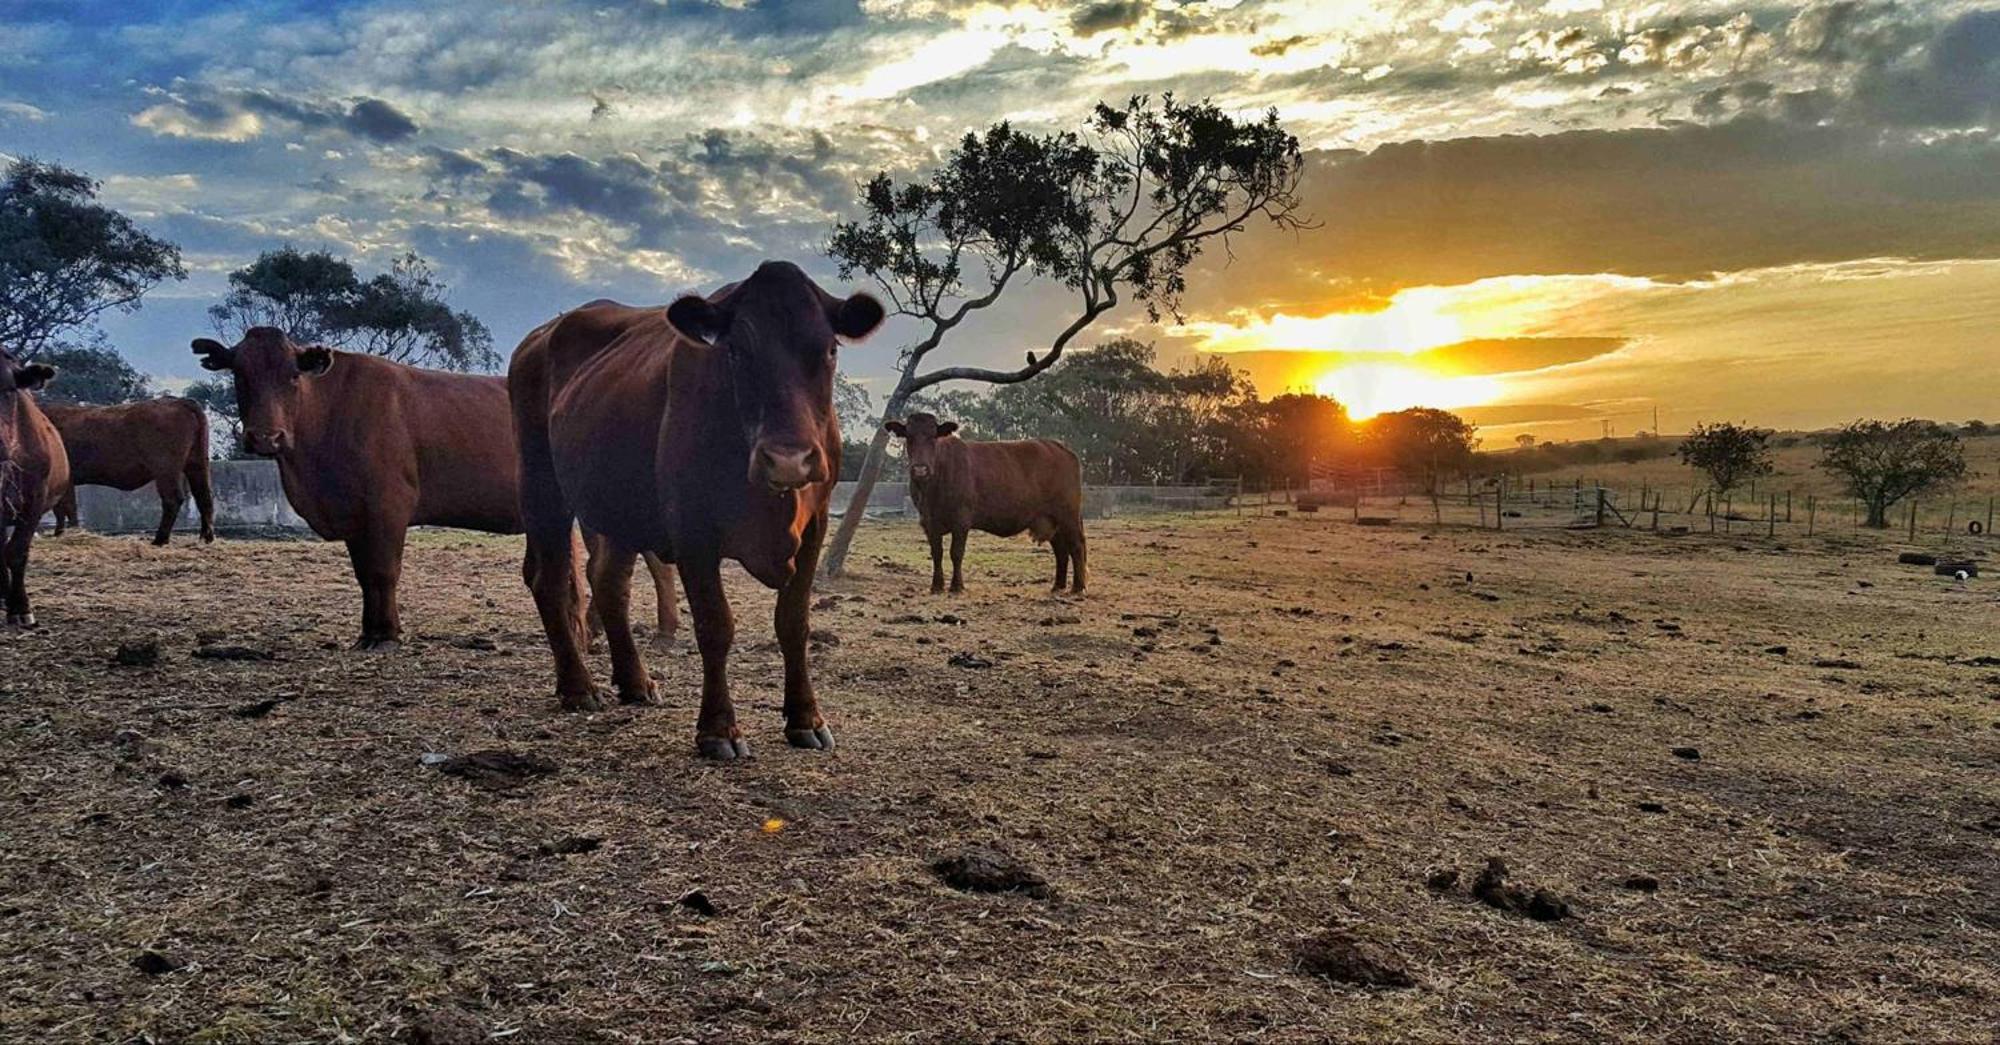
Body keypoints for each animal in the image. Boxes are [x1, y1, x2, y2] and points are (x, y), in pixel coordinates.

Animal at [46, 396, 216, 544]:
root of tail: (178, 401)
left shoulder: (67, 482)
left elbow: (68, 508)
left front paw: (71, 533)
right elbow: (60, 510)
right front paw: (59, 533)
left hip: (166, 470)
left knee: (173, 500)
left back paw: (160, 540)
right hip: (197, 465)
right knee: (204, 498)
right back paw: (206, 537)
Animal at [195, 330, 680, 644]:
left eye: (293, 375)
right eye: (239, 375)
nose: (265, 437)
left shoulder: (388, 504)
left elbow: (382, 571)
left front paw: (386, 635)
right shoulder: (355, 514)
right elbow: (363, 576)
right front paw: (368, 631)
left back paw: (662, 631)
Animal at [516, 258, 884, 752]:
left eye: (828, 350)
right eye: (737, 353)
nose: (788, 459)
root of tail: (541, 335)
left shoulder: (815, 526)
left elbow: (793, 623)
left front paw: (806, 717)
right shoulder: (692, 529)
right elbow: (714, 626)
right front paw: (718, 726)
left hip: (619, 505)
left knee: (609, 582)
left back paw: (636, 681)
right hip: (543, 487)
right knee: (551, 580)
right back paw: (577, 686)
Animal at [884, 414, 1088, 592]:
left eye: (933, 436)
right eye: (909, 436)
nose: (920, 469)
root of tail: (1059, 447)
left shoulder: (961, 520)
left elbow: (956, 553)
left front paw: (957, 586)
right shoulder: (928, 522)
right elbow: (937, 553)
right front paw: (936, 586)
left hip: (1068, 515)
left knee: (1076, 546)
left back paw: (1078, 587)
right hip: (1051, 520)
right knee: (1061, 550)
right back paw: (1058, 586)